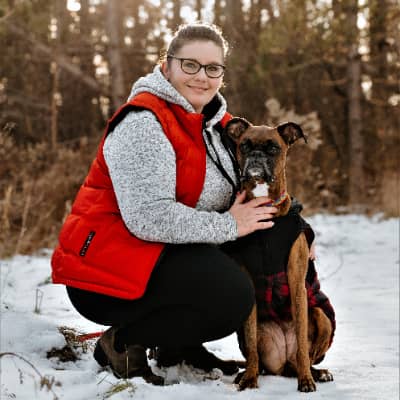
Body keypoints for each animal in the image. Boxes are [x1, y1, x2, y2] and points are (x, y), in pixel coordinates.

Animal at [223, 117, 335, 393]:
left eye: (273, 148)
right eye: (244, 145)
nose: (256, 155)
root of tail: (284, 364)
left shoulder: (296, 282)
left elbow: (304, 347)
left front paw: (306, 380)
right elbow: (252, 345)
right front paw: (249, 379)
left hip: (321, 317)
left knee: (305, 355)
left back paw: (316, 373)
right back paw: (247, 373)